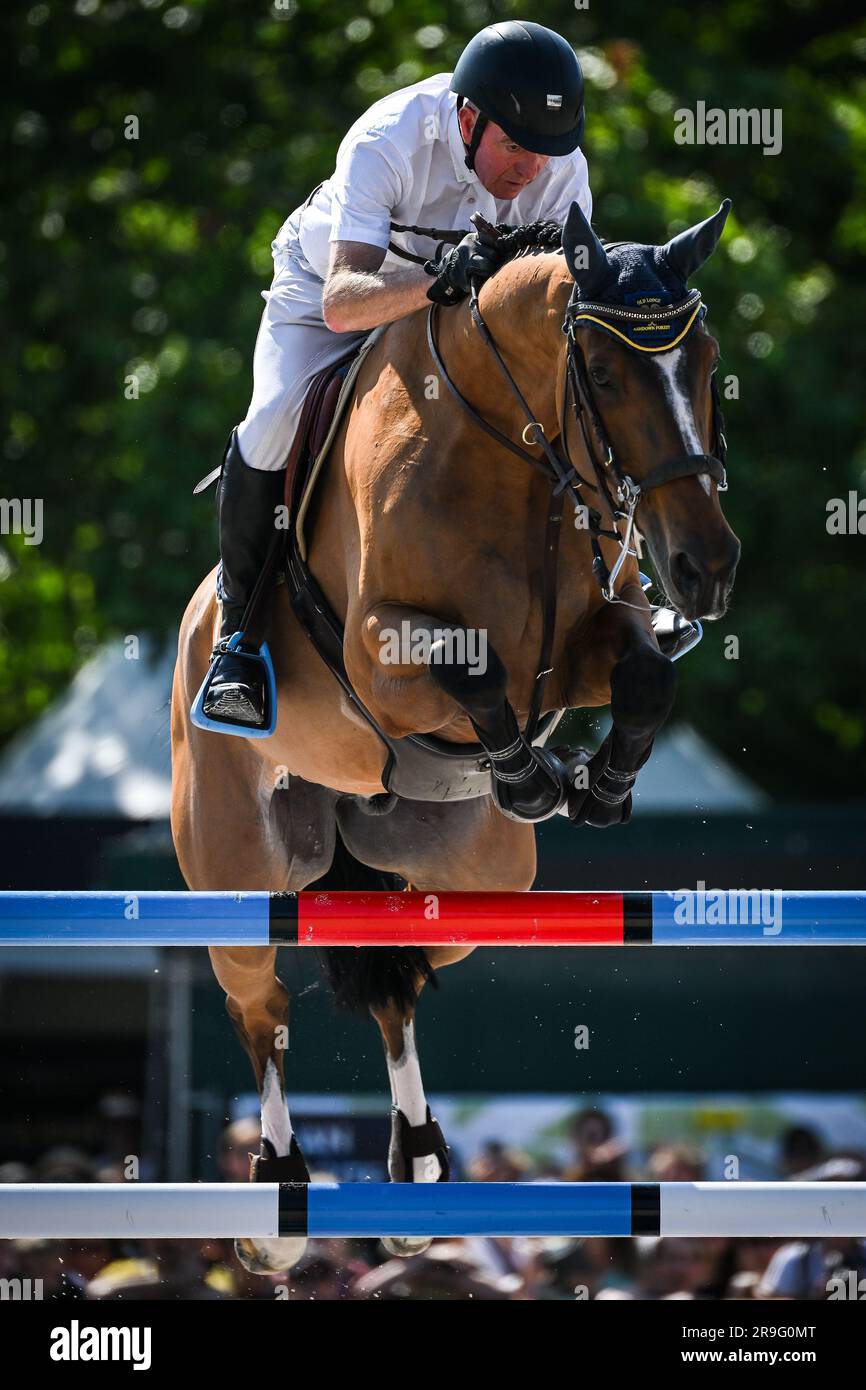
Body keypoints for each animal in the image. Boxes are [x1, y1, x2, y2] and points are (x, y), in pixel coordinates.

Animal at [169, 195, 739, 1273]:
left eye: (704, 362)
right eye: (605, 377)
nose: (706, 569)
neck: (508, 447)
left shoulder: (587, 640)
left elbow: (644, 671)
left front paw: (596, 782)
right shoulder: (383, 656)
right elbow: (467, 672)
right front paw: (530, 771)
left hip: (473, 875)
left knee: (402, 979)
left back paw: (417, 1164)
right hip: (237, 867)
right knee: (257, 1007)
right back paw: (278, 1201)